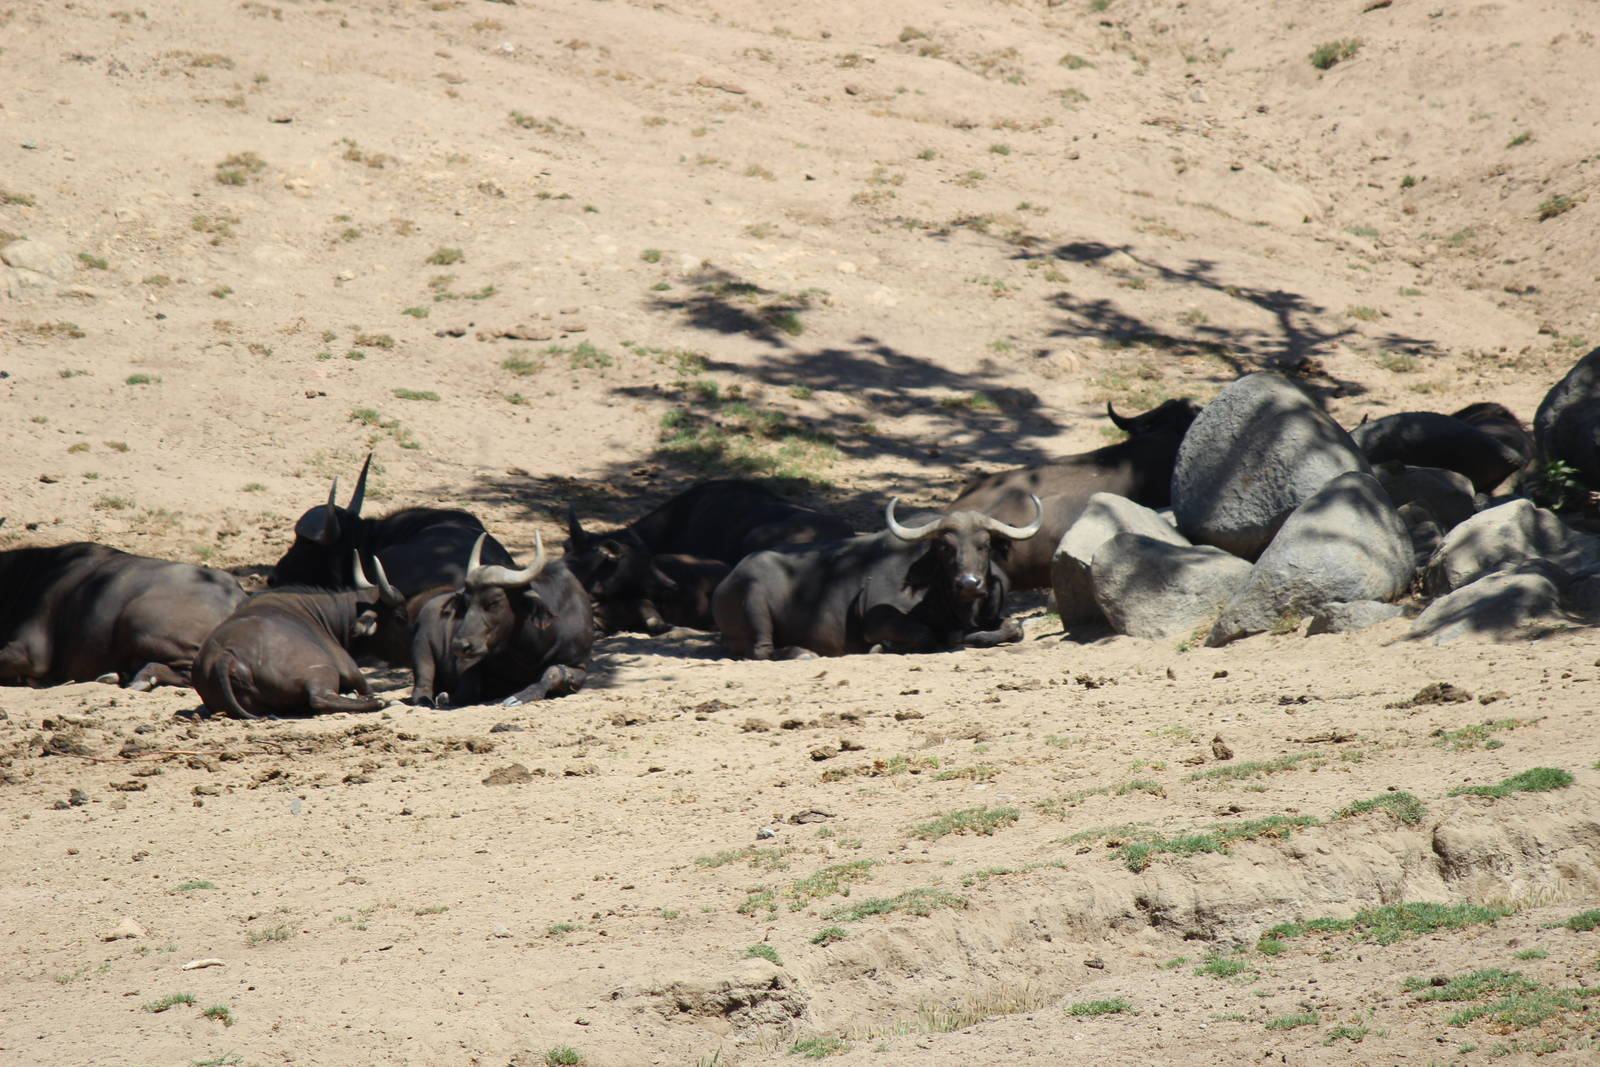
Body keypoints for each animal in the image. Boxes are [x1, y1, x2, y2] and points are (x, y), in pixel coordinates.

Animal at [713, 496, 1042, 659]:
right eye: (945, 547)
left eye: (984, 545)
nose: (969, 584)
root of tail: (727, 581)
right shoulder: (877, 621)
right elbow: (924, 634)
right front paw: (885, 646)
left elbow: (1015, 628)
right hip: (754, 600)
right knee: (760, 650)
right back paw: (802, 653)